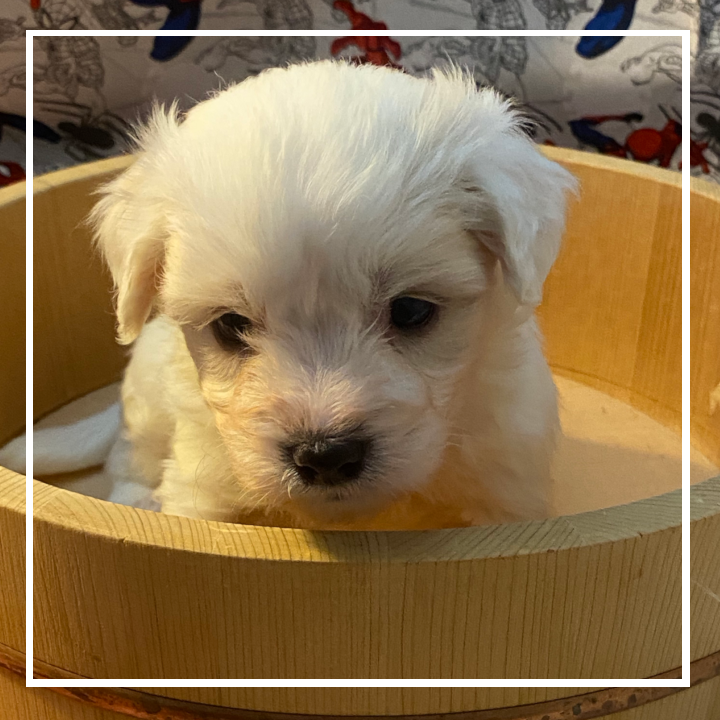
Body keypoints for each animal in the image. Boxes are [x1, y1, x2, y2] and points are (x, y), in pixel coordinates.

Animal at [93, 62, 580, 532]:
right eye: (229, 325)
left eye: (411, 310)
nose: (325, 455)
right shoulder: (203, 486)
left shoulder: (507, 478)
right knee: (130, 455)